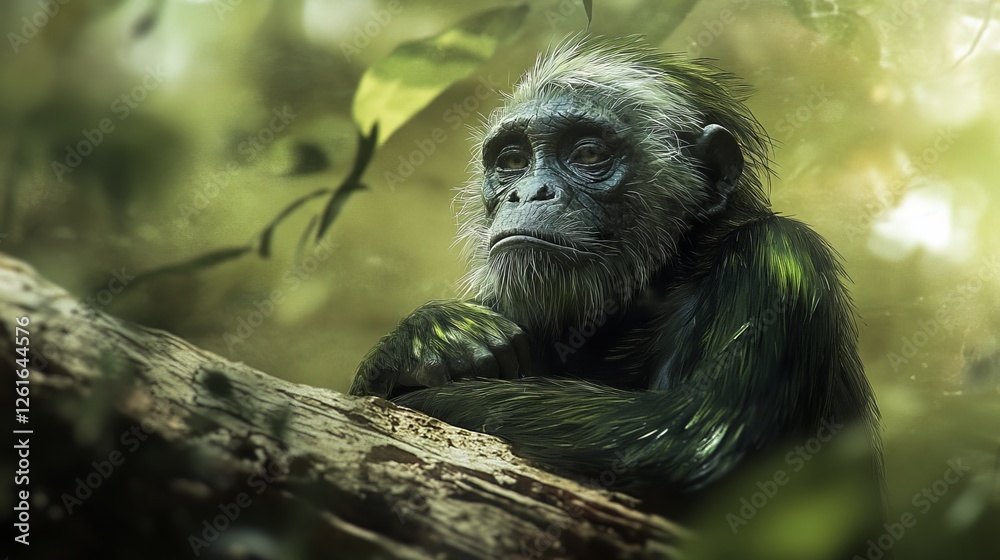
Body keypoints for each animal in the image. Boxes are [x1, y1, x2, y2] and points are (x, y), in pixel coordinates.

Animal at [350, 37, 885, 547]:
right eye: (513, 160)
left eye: (588, 153)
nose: (529, 191)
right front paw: (430, 336)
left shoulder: (778, 262)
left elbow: (692, 440)